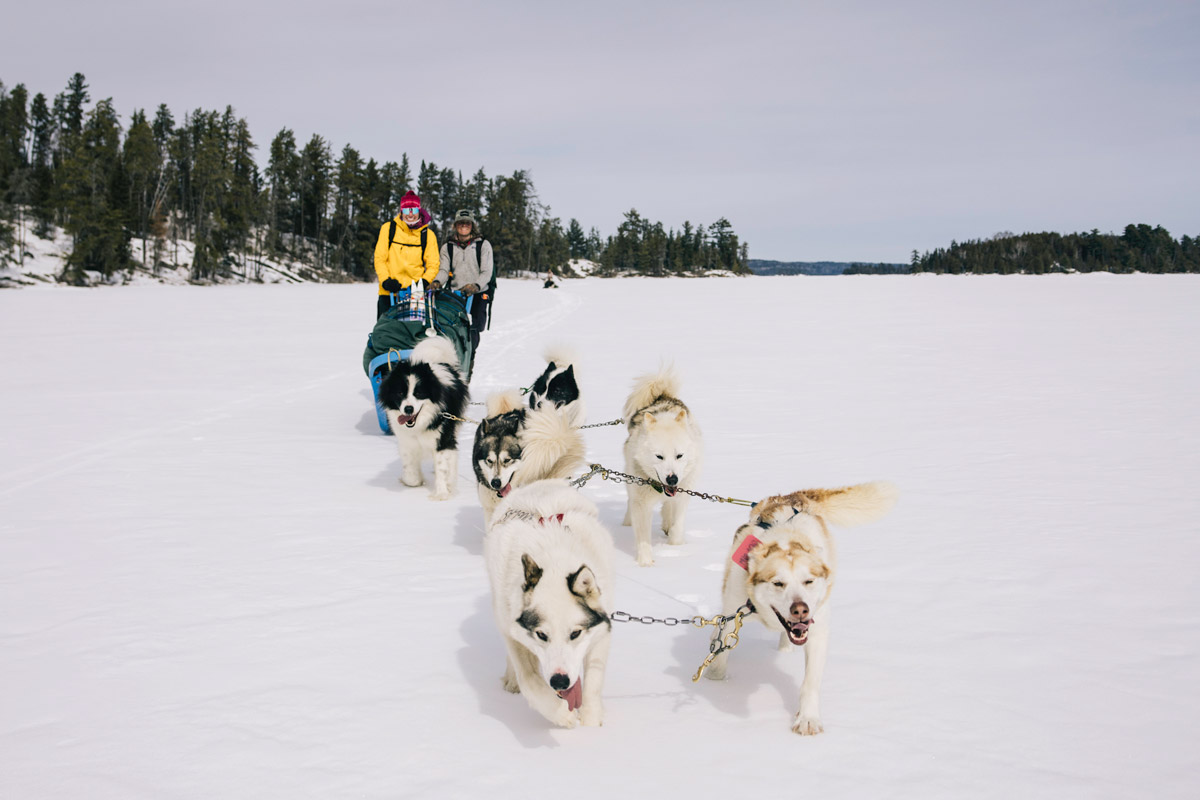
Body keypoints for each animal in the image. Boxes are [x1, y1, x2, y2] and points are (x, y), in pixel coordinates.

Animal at [482, 479, 614, 729]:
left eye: (575, 633)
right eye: (541, 635)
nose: (560, 681)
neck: (554, 563)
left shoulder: (601, 631)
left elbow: (594, 680)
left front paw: (591, 722)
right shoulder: (513, 633)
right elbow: (530, 680)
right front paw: (560, 713)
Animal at [700, 482, 902, 738]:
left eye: (809, 581)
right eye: (778, 583)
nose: (800, 610)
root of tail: (793, 496)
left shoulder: (817, 631)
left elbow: (810, 683)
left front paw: (807, 718)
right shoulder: (733, 607)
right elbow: (720, 656)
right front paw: (715, 683)